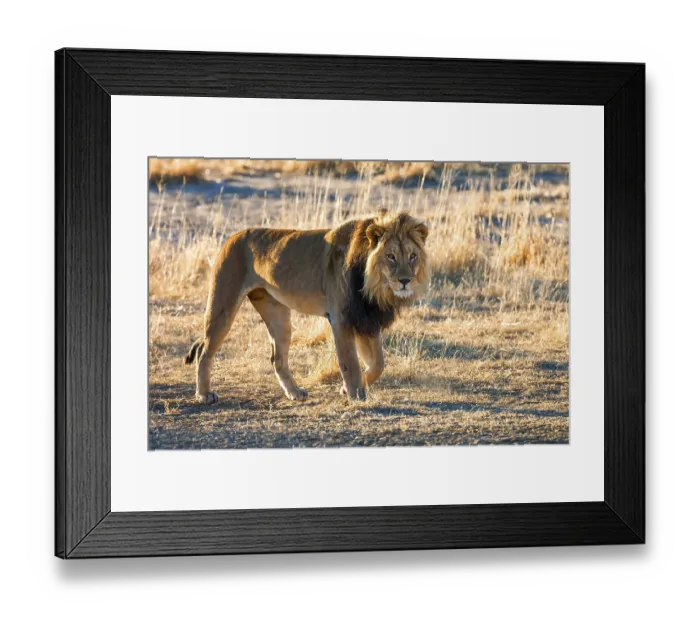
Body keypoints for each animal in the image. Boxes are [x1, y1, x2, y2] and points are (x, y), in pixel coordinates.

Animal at [184, 212, 430, 404]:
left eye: (412, 256)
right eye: (390, 256)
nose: (405, 281)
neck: (374, 286)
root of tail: (232, 237)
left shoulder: (365, 318)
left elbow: (378, 363)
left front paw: (347, 389)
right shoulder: (341, 318)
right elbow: (350, 361)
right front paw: (355, 395)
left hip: (278, 315)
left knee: (278, 359)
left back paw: (294, 392)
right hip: (223, 305)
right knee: (204, 350)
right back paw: (204, 395)